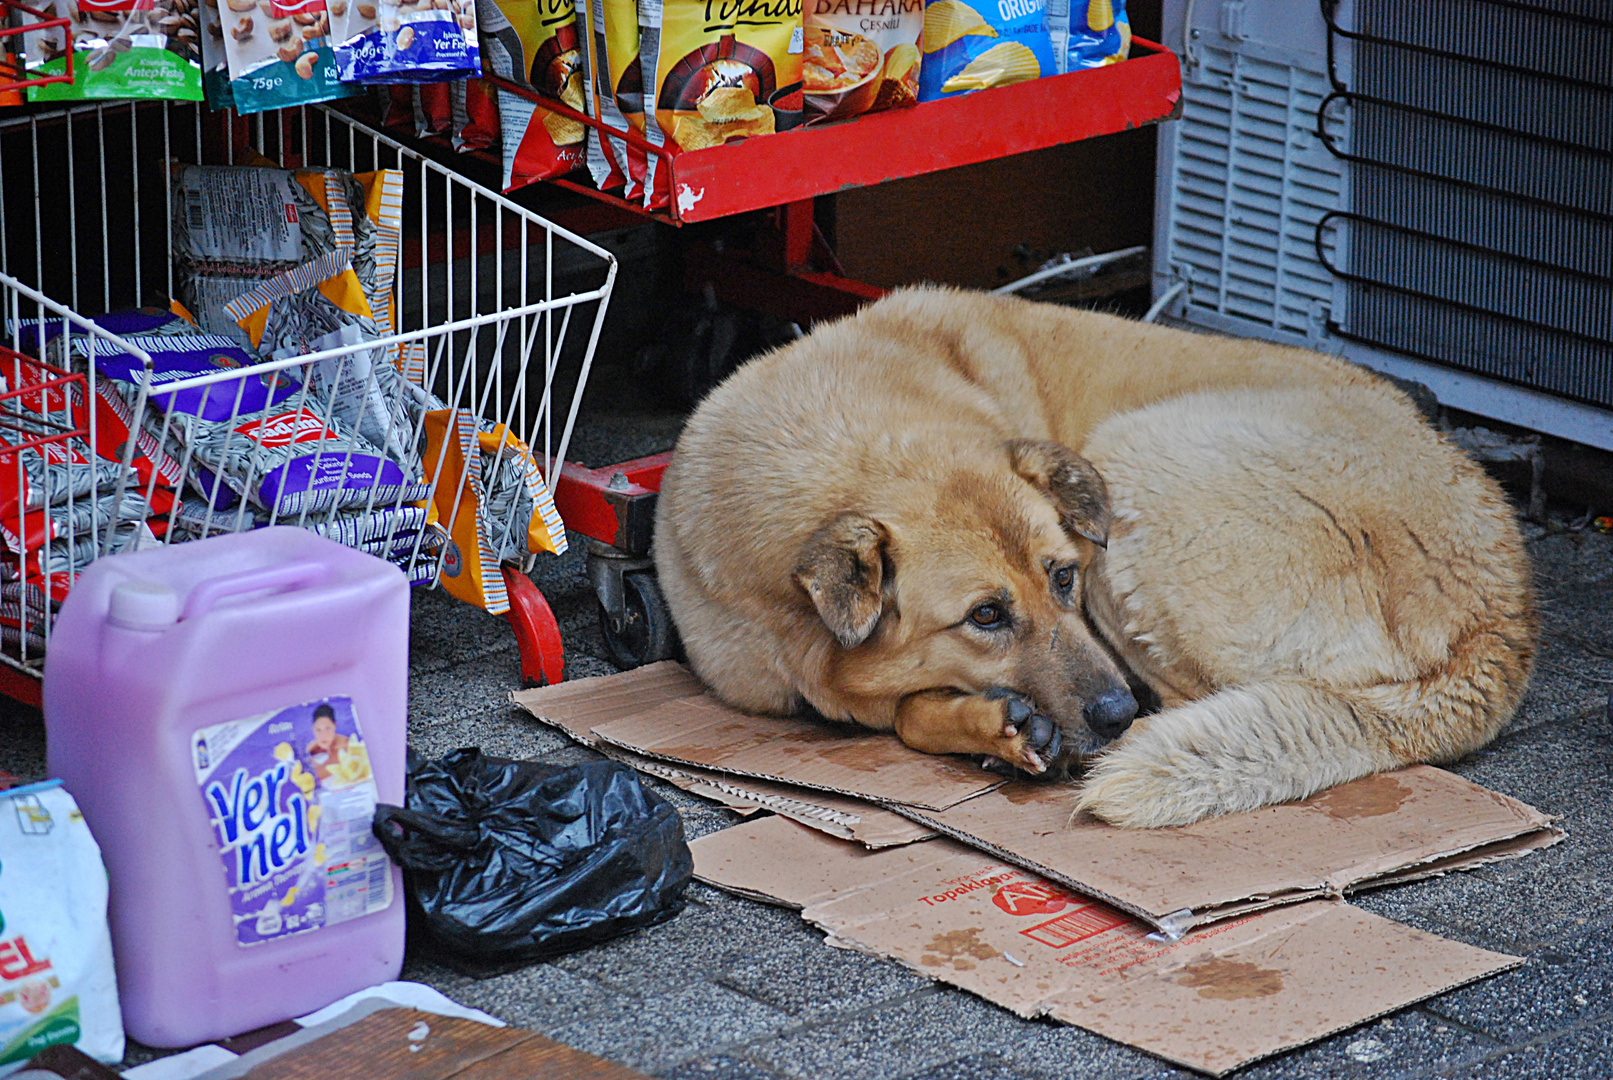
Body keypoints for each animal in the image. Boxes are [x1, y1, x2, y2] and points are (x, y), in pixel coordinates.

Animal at [648, 285, 1529, 831]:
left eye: (1064, 576)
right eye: (986, 615)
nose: (1112, 714)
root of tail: (1503, 618)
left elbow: (901, 712)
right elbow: (906, 709)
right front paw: (994, 727)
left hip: (1130, 455)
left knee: (1195, 698)